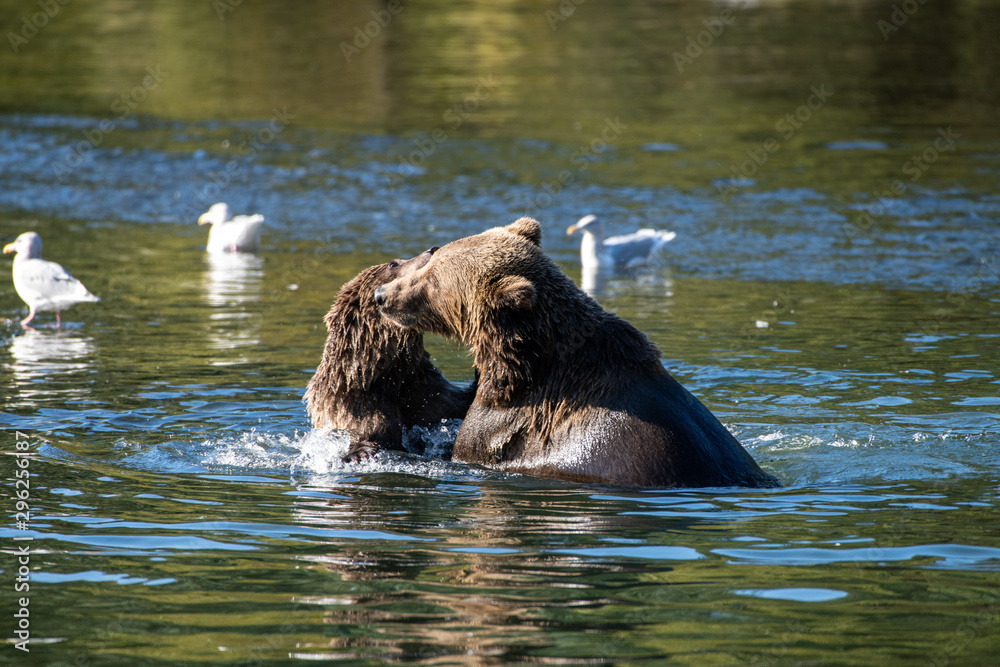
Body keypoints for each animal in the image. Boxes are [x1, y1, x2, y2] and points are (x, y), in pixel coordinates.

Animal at [304, 250, 476, 462]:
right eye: (394, 264)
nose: (432, 249)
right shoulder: (356, 405)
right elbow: (371, 434)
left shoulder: (422, 387)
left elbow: (455, 406)